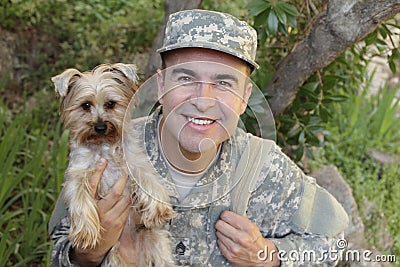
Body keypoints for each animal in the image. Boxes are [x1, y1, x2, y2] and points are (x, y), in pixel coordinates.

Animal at [52, 63, 177, 266]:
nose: (100, 126)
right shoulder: (77, 175)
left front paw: (159, 209)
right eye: (85, 105)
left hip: (156, 242)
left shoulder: (134, 161)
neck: (103, 145)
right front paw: (85, 233)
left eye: (111, 104)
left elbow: (148, 180)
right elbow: (80, 199)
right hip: (113, 257)